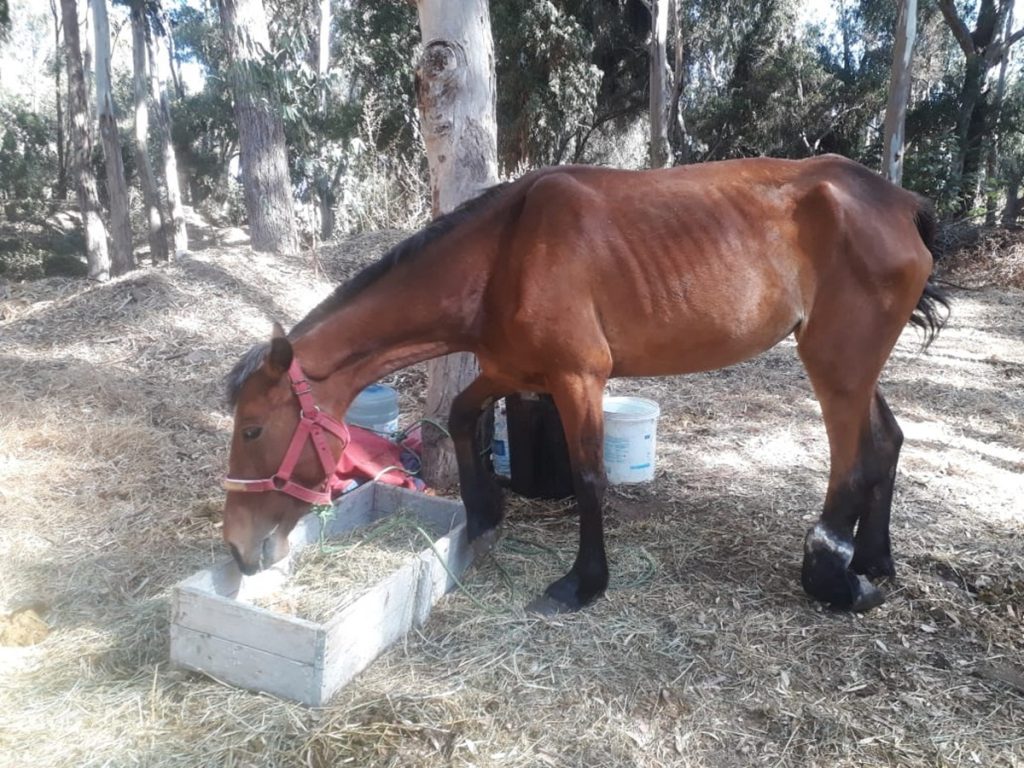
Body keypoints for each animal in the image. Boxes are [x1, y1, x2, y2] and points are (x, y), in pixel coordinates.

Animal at [220, 154, 946, 614]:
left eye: (253, 429)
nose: (236, 549)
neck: (503, 251)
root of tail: (899, 202)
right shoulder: (511, 370)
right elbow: (461, 418)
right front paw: (484, 514)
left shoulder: (578, 379)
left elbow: (589, 476)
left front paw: (583, 583)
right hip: (853, 365)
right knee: (886, 443)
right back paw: (873, 560)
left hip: (836, 364)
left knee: (852, 464)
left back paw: (835, 579)